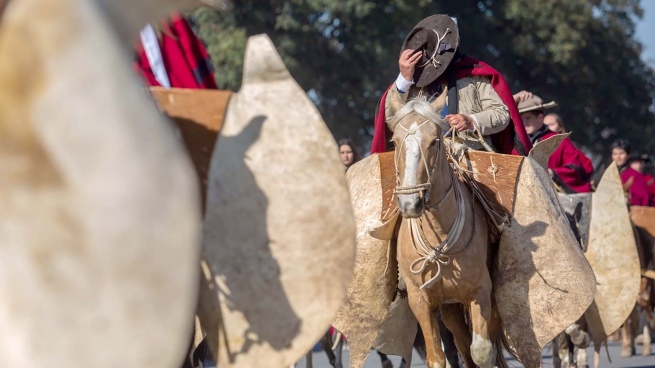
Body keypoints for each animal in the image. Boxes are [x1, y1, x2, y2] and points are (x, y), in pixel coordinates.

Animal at [386, 92, 510, 368]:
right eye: (395, 141)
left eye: (434, 141)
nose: (410, 203)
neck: (439, 239)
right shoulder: (420, 300)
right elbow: (436, 357)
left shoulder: (480, 291)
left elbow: (482, 352)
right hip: (450, 308)